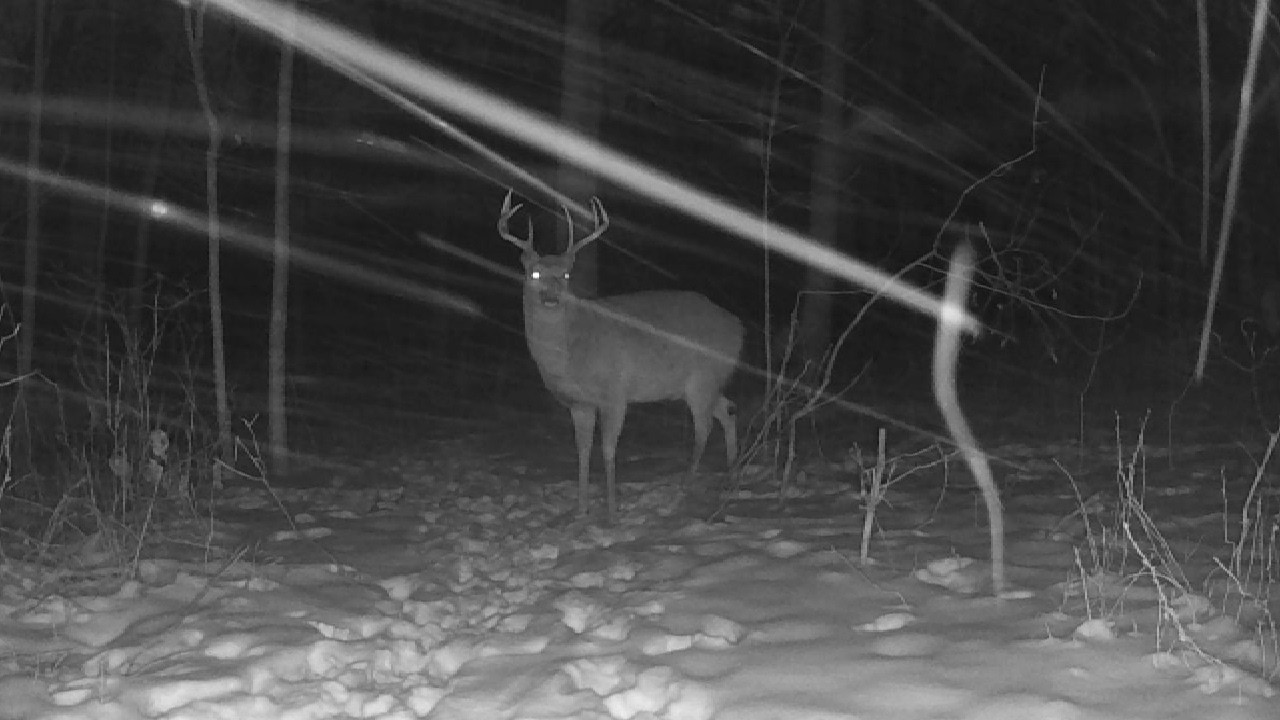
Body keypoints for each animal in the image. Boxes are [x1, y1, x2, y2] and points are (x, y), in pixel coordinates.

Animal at [497, 192, 743, 521]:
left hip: (702, 378)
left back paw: (685, 487)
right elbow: (582, 451)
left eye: (565, 274)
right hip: (703, 383)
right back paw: (731, 479)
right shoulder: (579, 402)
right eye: (534, 272)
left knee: (703, 426)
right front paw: (581, 510)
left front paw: (612, 511)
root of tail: (739, 329)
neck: (572, 352)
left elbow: (607, 450)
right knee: (728, 410)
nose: (551, 297)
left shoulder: (614, 392)